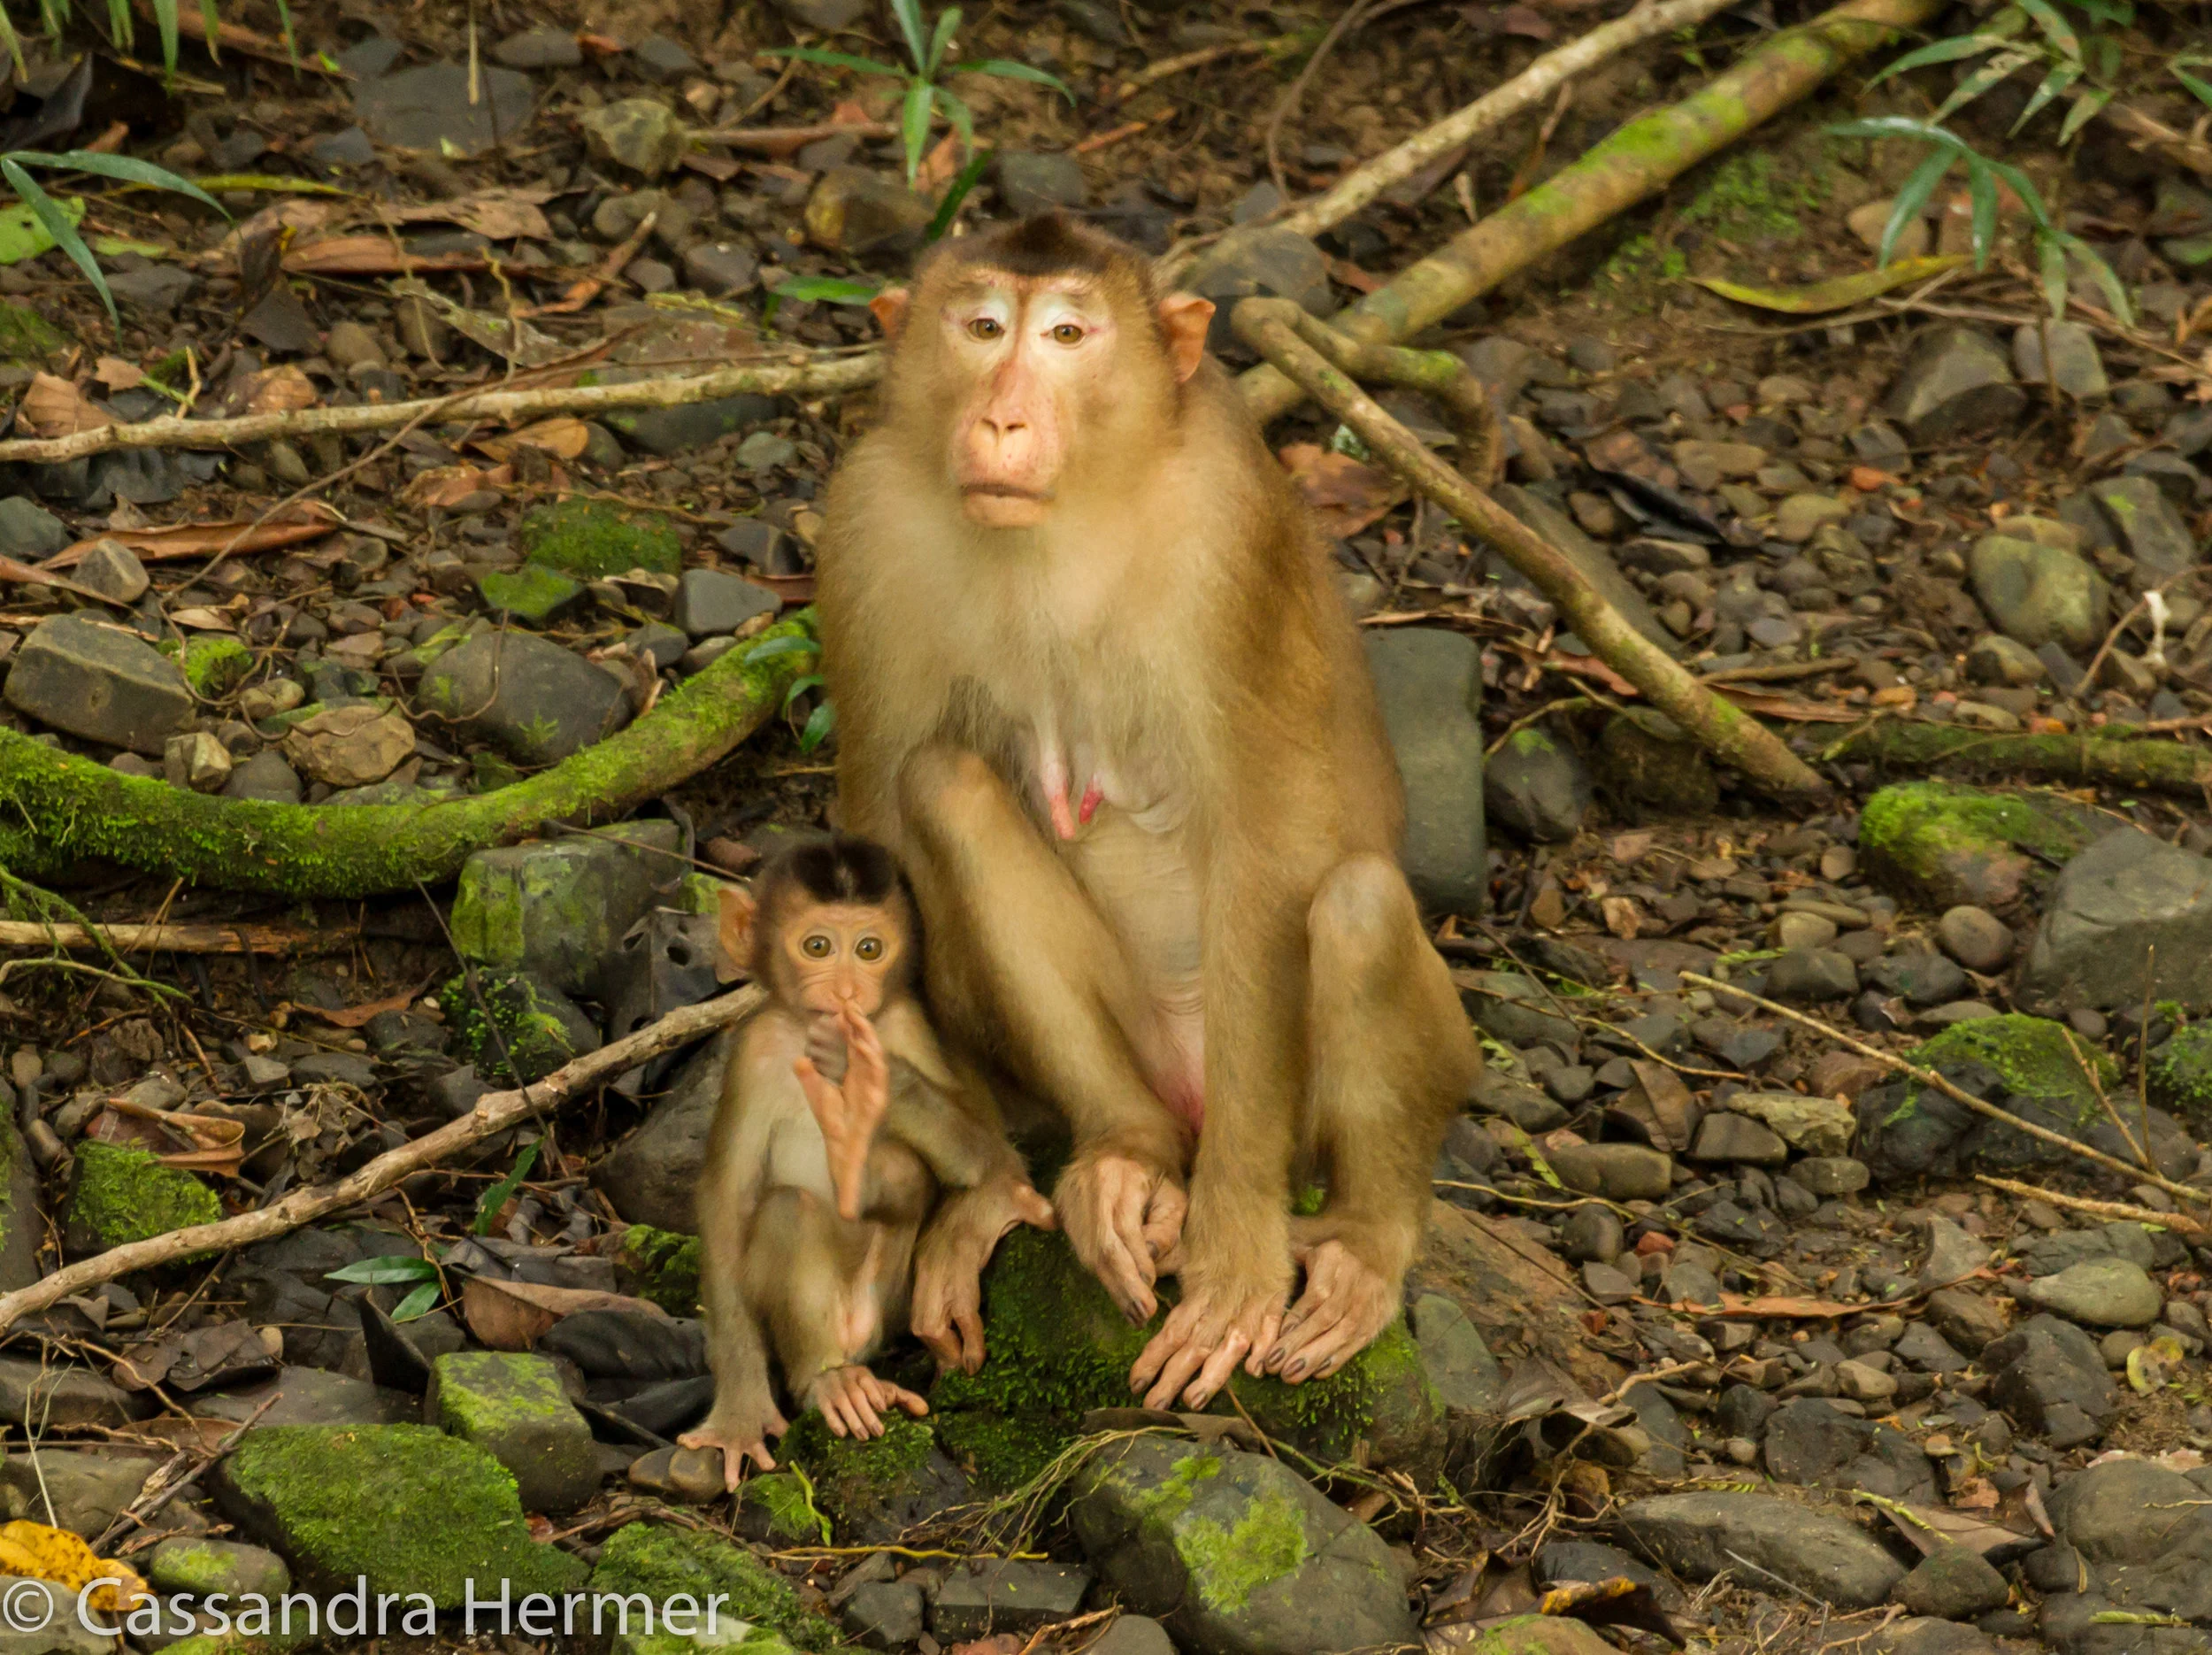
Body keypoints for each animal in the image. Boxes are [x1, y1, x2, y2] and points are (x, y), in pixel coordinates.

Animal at [677, 835, 1052, 1485]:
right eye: (818, 946)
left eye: (870, 949)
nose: (848, 994)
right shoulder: (752, 1050)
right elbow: (726, 1204)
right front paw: (741, 1414)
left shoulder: (908, 1025)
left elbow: (988, 1154)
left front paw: (872, 1078)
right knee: (788, 1211)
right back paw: (830, 1381)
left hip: (890, 1298)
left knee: (901, 1174)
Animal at [814, 212, 1481, 1414]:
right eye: (982, 327)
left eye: (1068, 335)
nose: (1003, 417)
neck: (1075, 513)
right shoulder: (864, 525)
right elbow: (878, 842)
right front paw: (974, 1193)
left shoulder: (1229, 528)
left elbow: (1269, 851)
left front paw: (1234, 1259)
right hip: (1139, 1058)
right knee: (944, 787)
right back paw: (1124, 1157)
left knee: (1357, 904)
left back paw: (1364, 1241)